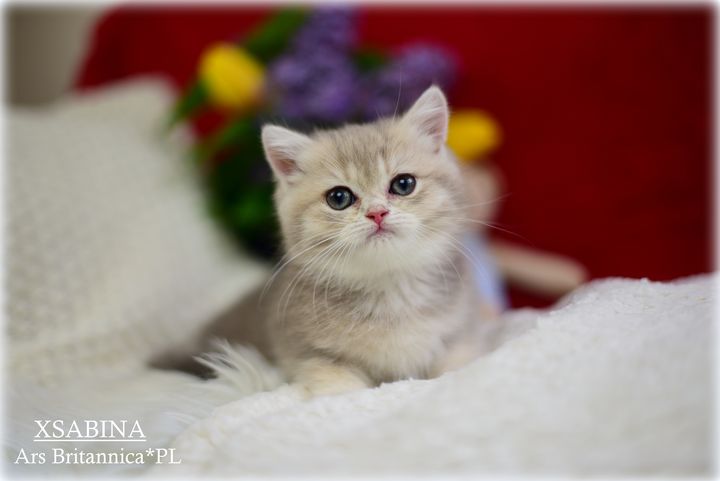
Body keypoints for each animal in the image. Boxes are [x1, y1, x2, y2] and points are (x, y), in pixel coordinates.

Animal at [260, 86, 495, 398]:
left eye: (404, 184)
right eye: (338, 198)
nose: (377, 213)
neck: (391, 289)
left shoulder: (462, 331)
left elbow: (458, 365)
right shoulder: (304, 351)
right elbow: (337, 385)